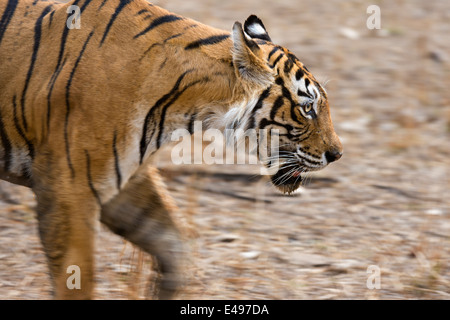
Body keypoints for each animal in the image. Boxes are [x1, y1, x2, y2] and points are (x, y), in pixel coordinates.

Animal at [0, 0, 342, 300]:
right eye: (308, 108)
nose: (337, 154)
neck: (187, 108)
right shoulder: (70, 191)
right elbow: (76, 281)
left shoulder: (125, 180)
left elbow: (174, 244)